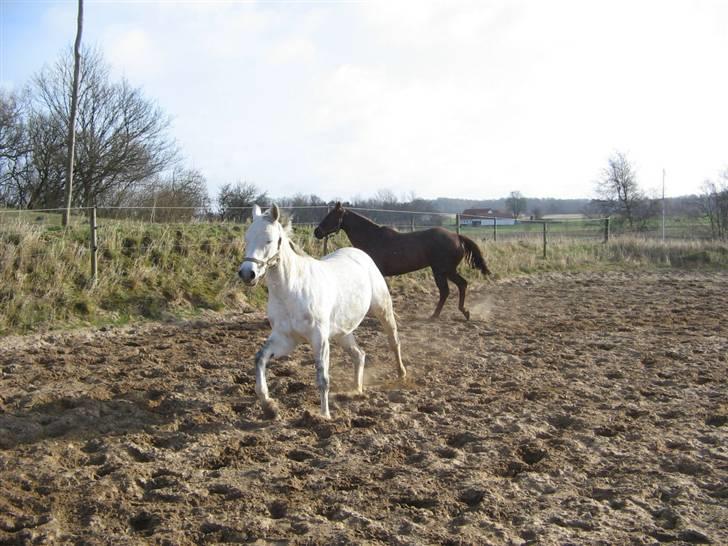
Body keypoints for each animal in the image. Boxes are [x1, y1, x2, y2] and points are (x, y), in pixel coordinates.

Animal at [240, 204, 406, 416]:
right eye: (247, 238)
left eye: (269, 240)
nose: (247, 273)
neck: (292, 290)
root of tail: (360, 254)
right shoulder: (285, 338)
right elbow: (260, 358)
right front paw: (269, 405)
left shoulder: (319, 339)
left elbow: (322, 378)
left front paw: (324, 416)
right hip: (343, 332)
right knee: (359, 355)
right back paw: (356, 390)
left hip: (383, 310)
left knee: (394, 341)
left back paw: (402, 375)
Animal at [316, 202, 492, 316]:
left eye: (331, 216)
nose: (316, 232)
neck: (373, 238)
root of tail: (457, 237)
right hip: (445, 271)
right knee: (458, 286)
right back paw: (461, 312)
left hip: (442, 270)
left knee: (449, 289)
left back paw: (439, 315)